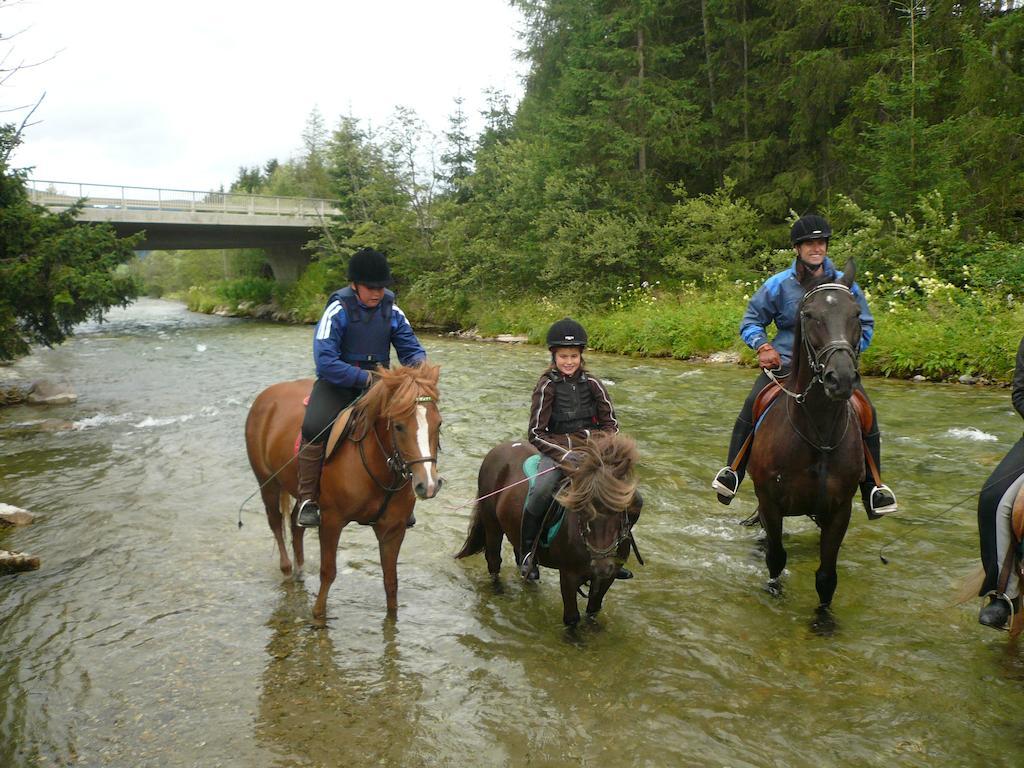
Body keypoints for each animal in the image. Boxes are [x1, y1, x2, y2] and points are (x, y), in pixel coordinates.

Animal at [247, 364, 444, 622]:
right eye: (399, 426)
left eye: (438, 424)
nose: (428, 485)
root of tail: (266, 396)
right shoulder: (332, 521)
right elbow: (328, 572)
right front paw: (318, 616)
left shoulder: (393, 529)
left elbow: (391, 582)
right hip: (267, 482)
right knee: (276, 523)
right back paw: (288, 569)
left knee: (295, 524)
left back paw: (300, 571)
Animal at [456, 430, 638, 626]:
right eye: (581, 509)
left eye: (618, 509)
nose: (601, 566)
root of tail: (498, 449)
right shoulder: (568, 575)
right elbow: (572, 619)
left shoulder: (607, 578)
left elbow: (593, 610)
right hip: (492, 526)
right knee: (494, 561)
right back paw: (499, 592)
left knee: (523, 561)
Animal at [745, 266, 864, 614]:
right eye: (810, 315)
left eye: (856, 313)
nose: (841, 379)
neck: (817, 435)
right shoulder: (770, 502)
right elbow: (775, 558)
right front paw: (774, 594)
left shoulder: (839, 511)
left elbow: (826, 577)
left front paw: (823, 619)